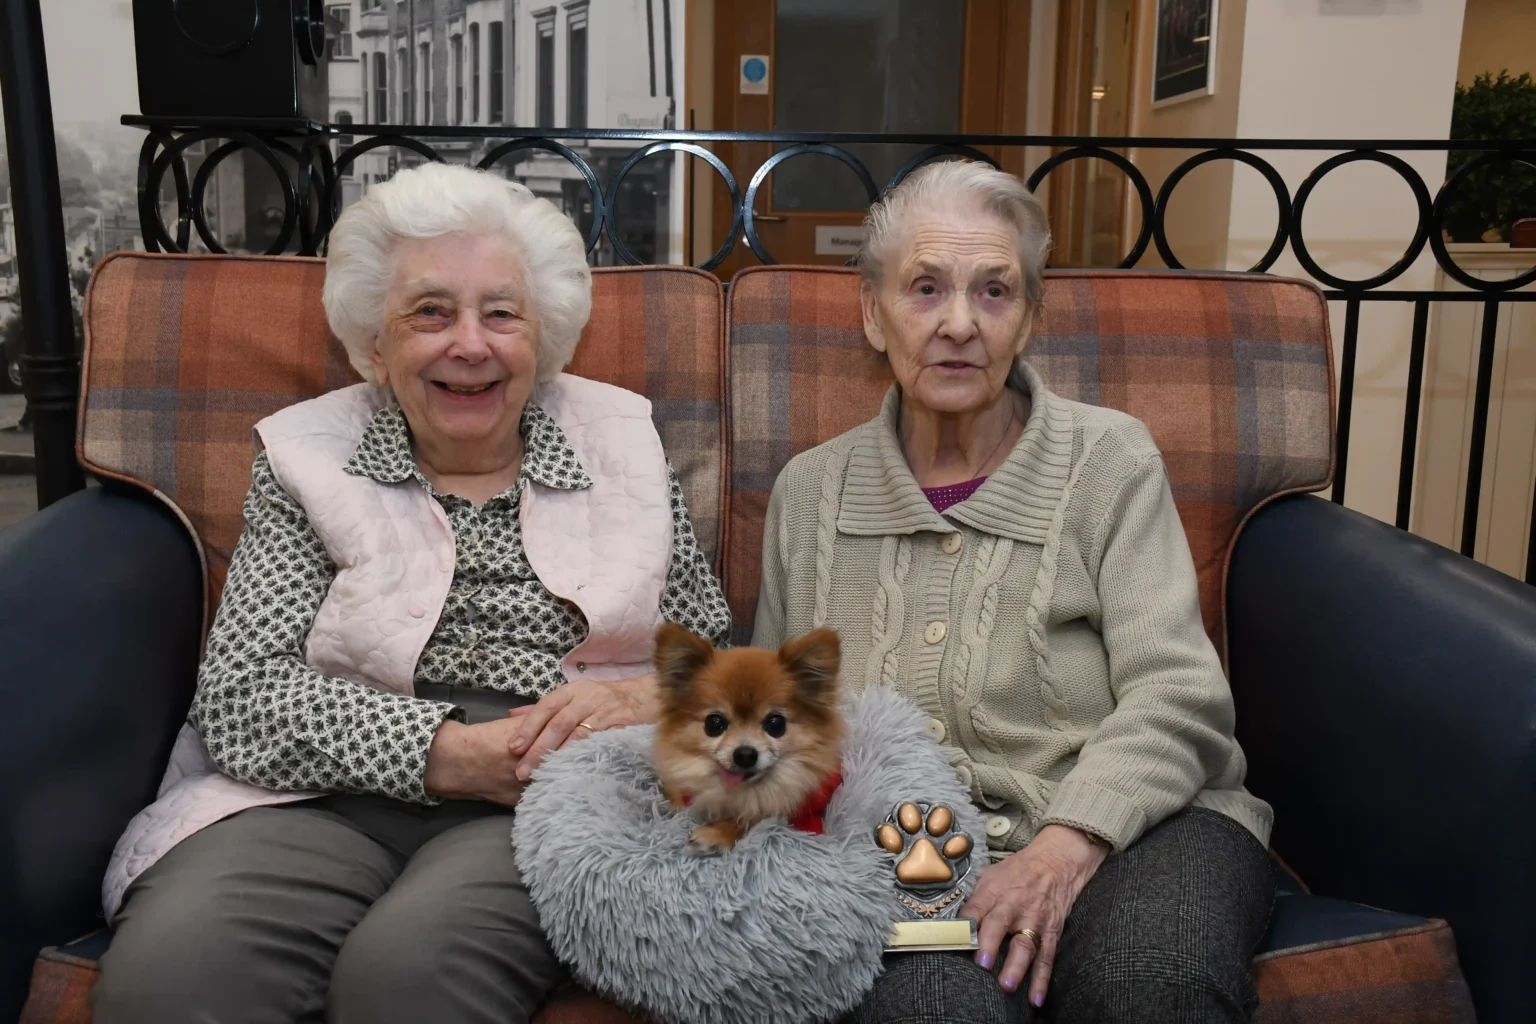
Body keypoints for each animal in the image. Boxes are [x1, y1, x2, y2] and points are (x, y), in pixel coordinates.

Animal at [648, 626, 841, 859]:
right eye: (714, 723)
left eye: (776, 724)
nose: (745, 754)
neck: (739, 793)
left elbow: (752, 821)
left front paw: (716, 834)